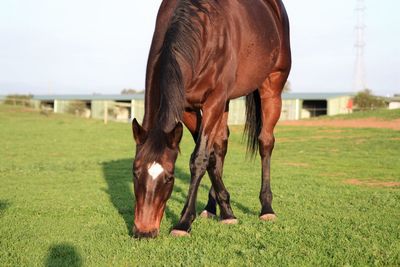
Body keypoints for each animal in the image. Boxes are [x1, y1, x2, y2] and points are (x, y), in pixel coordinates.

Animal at [131, 0, 290, 239]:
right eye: (135, 173)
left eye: (169, 177)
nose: (144, 231)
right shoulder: (188, 107)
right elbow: (211, 155)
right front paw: (226, 210)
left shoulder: (213, 100)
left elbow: (199, 158)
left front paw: (184, 222)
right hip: (226, 101)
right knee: (221, 144)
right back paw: (211, 207)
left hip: (272, 85)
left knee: (266, 142)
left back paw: (266, 208)